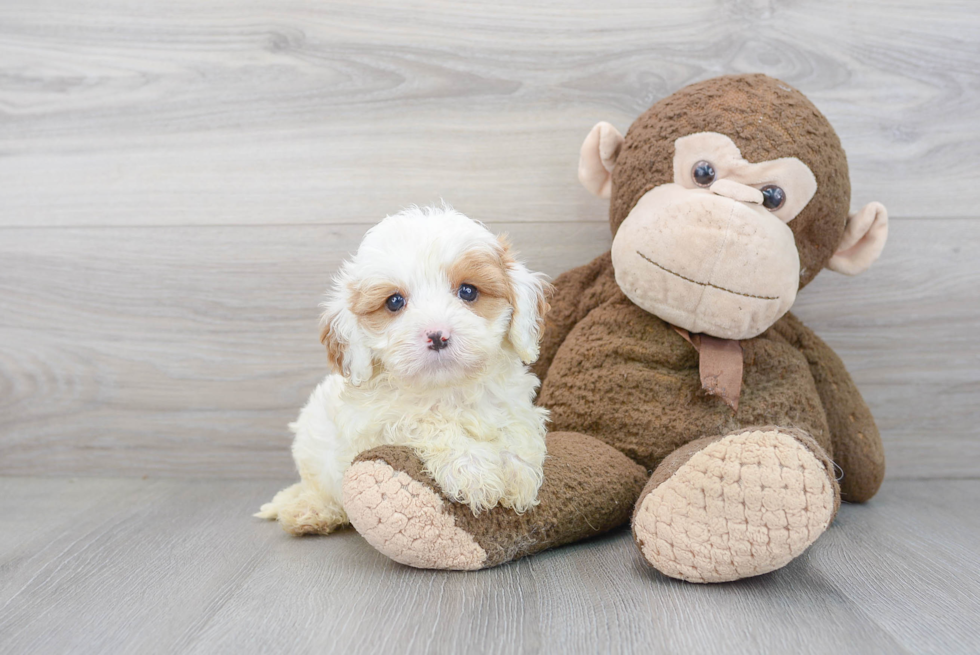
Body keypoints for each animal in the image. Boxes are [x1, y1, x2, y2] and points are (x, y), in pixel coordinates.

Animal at [256, 208, 552, 536]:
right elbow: (426, 423)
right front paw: (473, 471)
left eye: (468, 291)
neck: (447, 389)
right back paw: (310, 511)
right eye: (394, 301)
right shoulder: (376, 424)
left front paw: (517, 473)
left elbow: (517, 426)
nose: (437, 335)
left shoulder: (514, 402)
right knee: (318, 490)